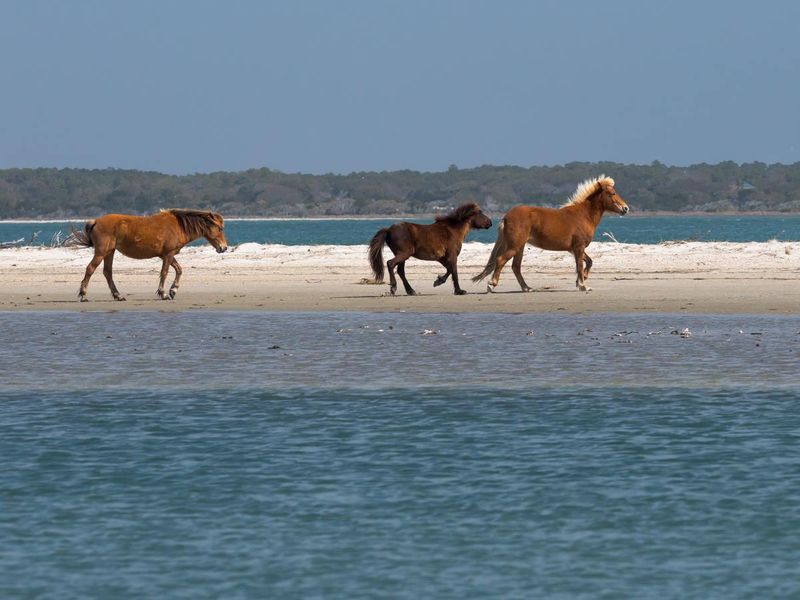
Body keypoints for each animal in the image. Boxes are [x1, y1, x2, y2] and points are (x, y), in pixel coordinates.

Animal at [70, 209, 228, 302]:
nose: (224, 247)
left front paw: (173, 290)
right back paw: (83, 295)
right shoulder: (168, 254)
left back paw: (118, 295)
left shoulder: (166, 255)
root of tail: (96, 221)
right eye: (220, 228)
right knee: (90, 269)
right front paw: (163, 293)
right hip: (102, 252)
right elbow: (164, 272)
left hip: (110, 252)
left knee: (107, 272)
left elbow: (178, 270)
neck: (178, 226)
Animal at [472, 175, 628, 293]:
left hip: (520, 247)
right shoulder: (578, 247)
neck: (583, 215)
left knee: (516, 267)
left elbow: (589, 262)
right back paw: (492, 284)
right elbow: (579, 265)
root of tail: (506, 216)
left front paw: (581, 280)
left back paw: (527, 288)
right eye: (612, 193)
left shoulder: (575, 248)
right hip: (515, 246)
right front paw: (583, 285)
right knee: (501, 261)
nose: (625, 208)